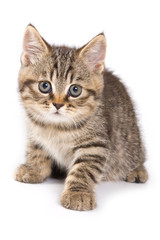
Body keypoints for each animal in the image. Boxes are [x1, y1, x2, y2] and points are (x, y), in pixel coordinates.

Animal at [14, 25, 148, 211]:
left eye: (75, 90)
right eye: (44, 86)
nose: (57, 104)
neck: (56, 127)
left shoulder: (95, 144)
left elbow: (84, 168)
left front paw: (78, 193)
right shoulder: (36, 132)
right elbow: (36, 149)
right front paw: (34, 168)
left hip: (130, 143)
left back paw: (137, 171)